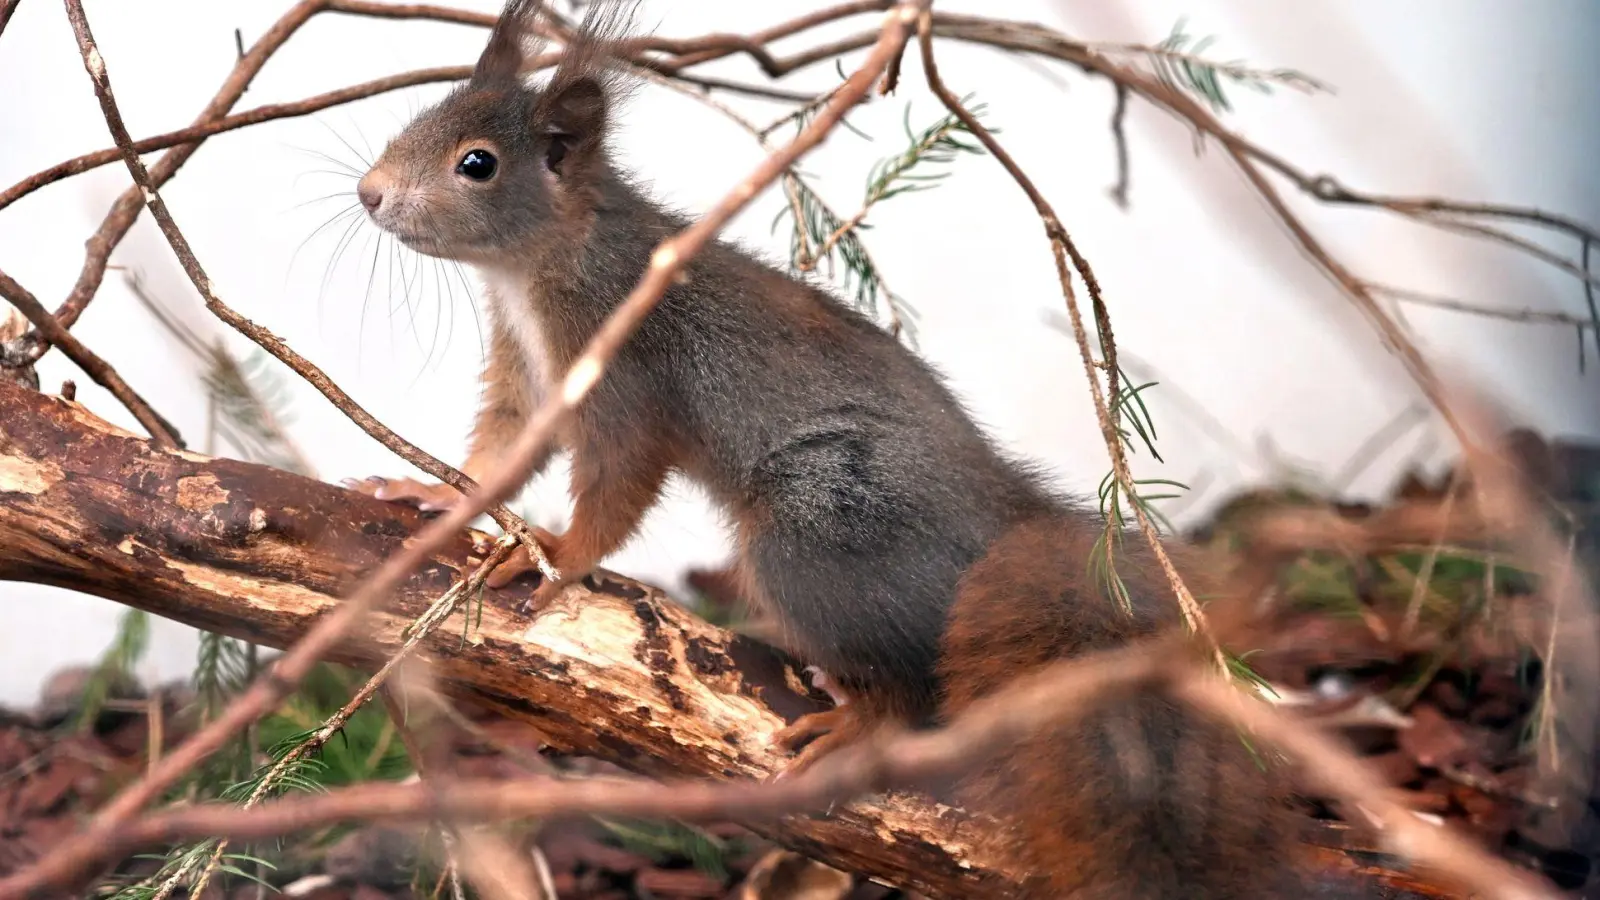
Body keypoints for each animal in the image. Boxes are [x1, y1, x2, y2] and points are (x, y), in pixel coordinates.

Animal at [347, 3, 1376, 890]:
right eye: (419, 116)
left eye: (477, 163)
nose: (369, 194)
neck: (537, 266)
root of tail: (997, 522)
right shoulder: (527, 369)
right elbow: (504, 446)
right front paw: (441, 503)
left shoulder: (624, 371)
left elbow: (617, 483)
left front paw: (558, 556)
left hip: (818, 531)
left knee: (913, 688)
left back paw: (862, 725)